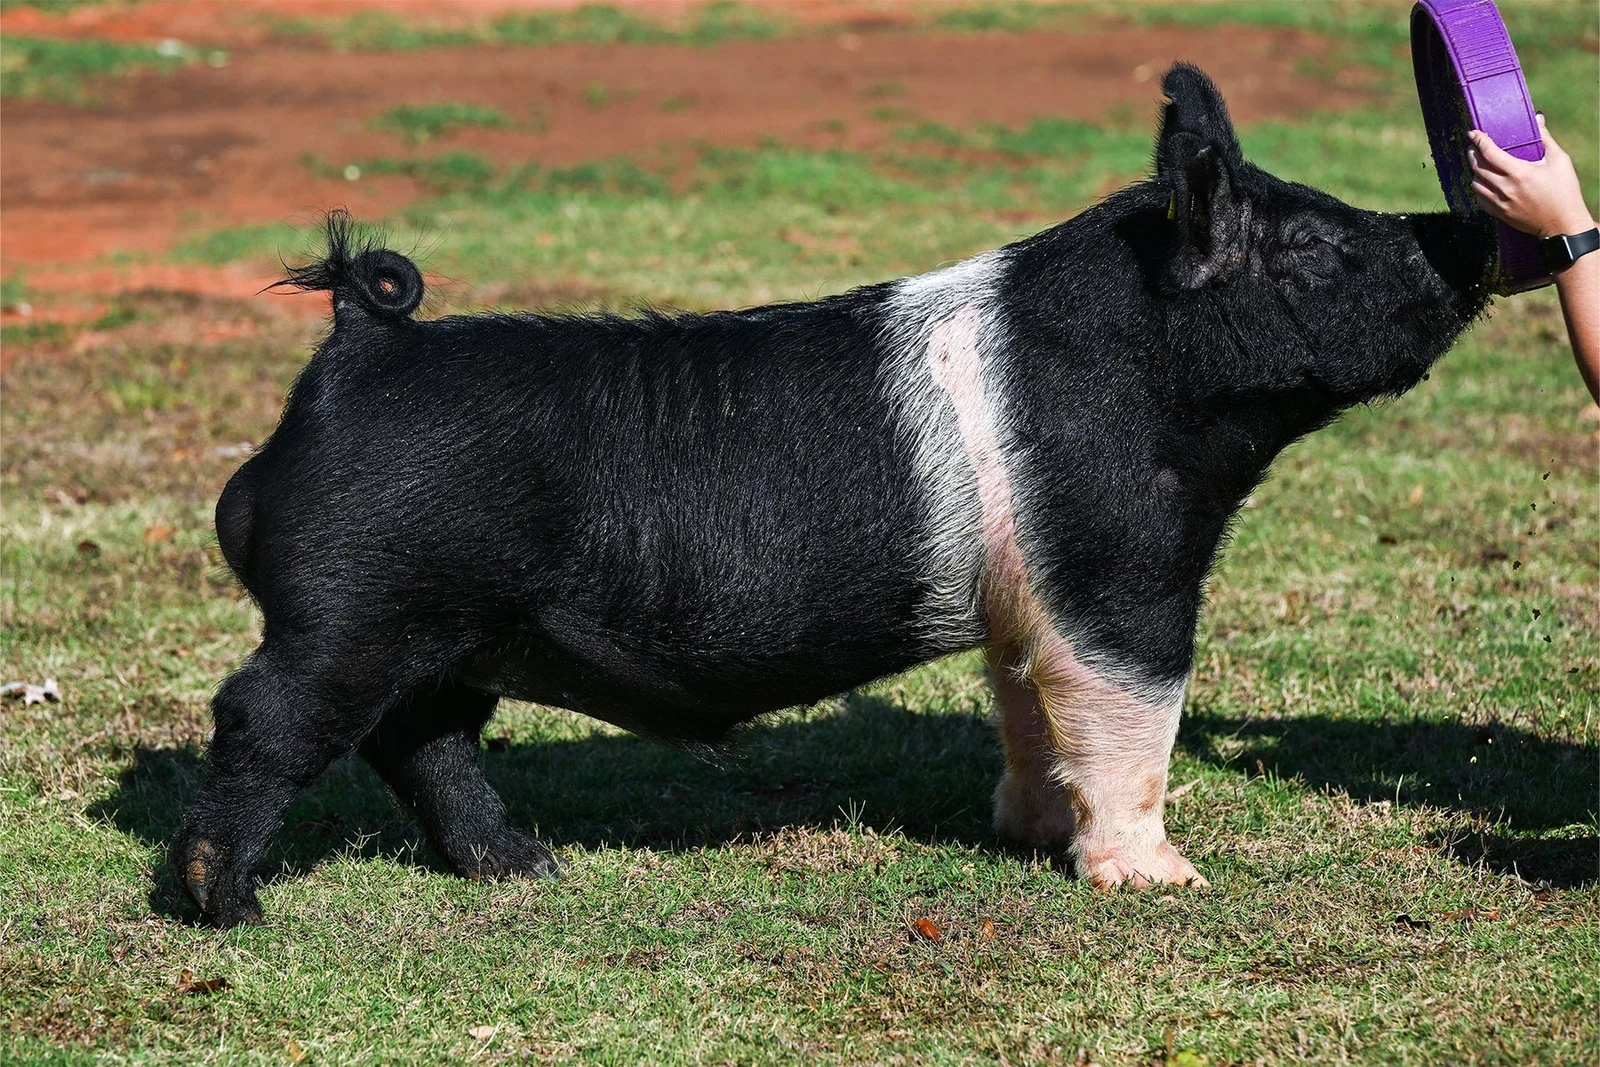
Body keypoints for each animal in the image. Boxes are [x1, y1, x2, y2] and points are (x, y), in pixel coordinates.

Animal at [174, 64, 1494, 926]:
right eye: (1311, 247)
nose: (1462, 231)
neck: (1154, 377)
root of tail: (359, 346)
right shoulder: (1119, 565)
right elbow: (1134, 713)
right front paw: (1166, 883)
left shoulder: (1026, 599)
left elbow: (1027, 704)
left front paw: (1029, 836)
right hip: (355, 607)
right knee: (264, 716)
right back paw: (226, 906)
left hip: (446, 630)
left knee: (422, 739)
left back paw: (529, 869)